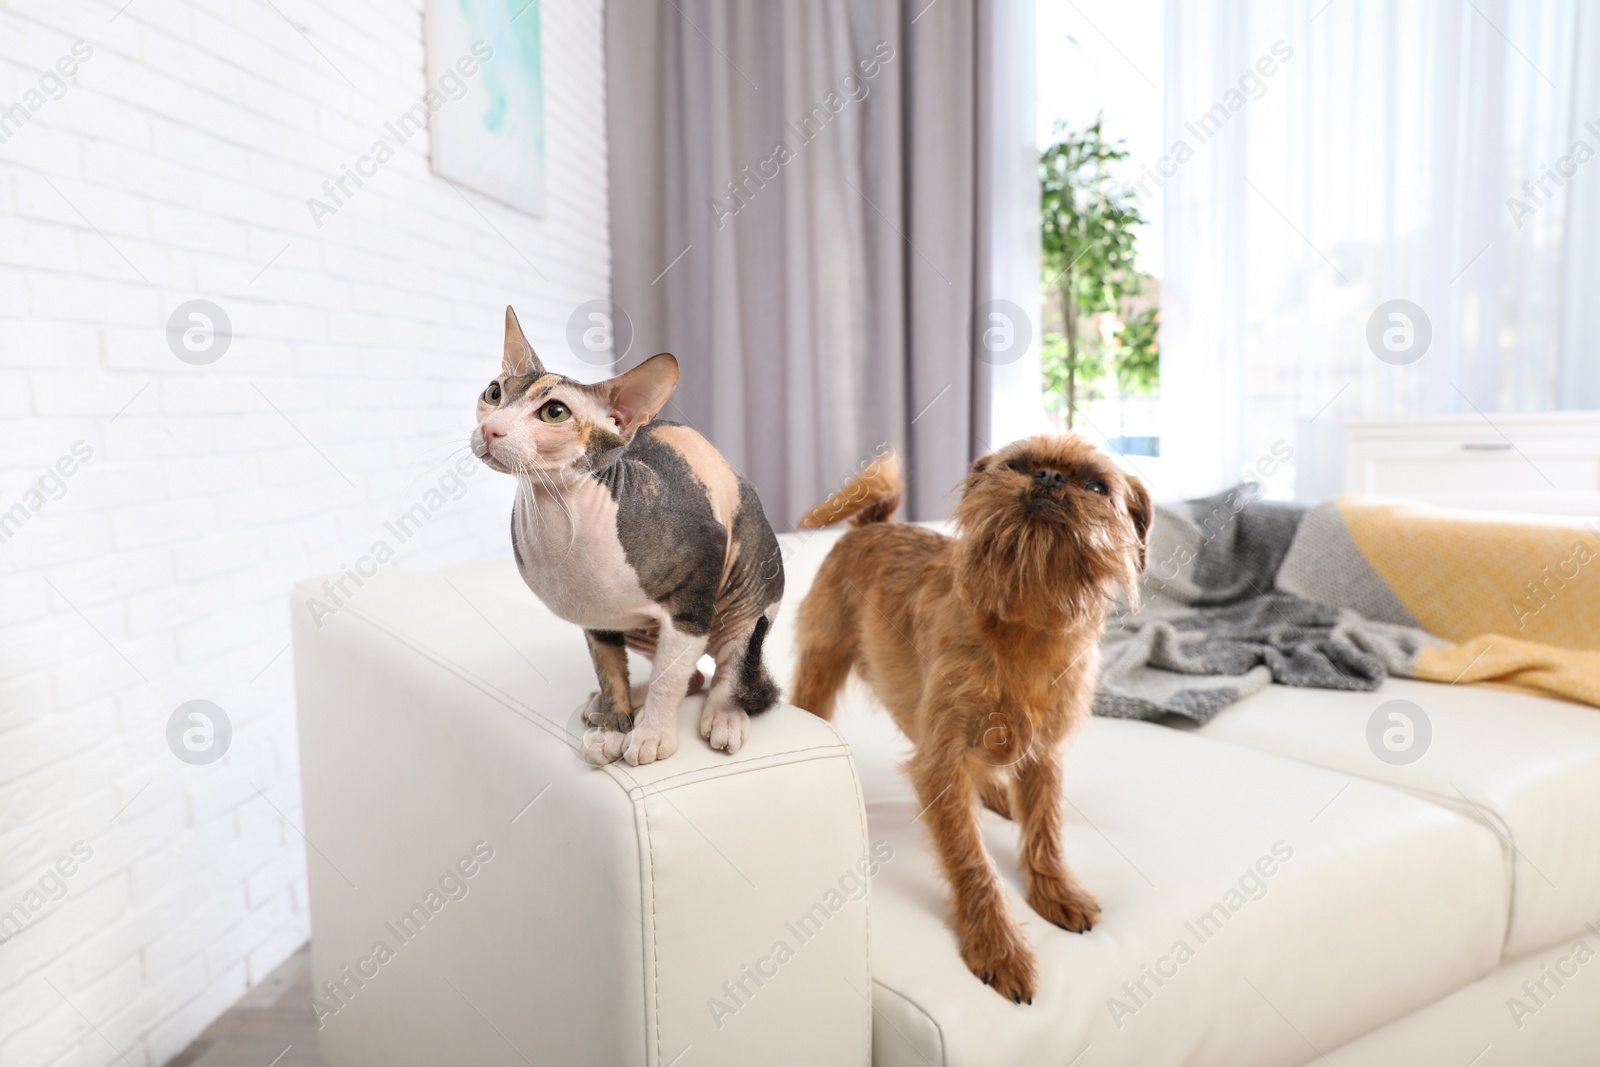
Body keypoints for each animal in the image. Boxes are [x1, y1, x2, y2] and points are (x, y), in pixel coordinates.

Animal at [790, 435, 1152, 1004]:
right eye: (1017, 465)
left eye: (1097, 487)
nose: (1048, 477)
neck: (1028, 623)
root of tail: (874, 524)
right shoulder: (942, 760)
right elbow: (971, 858)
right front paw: (996, 946)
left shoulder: (1044, 756)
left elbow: (1046, 828)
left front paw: (1055, 889)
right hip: (825, 664)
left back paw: (998, 795)